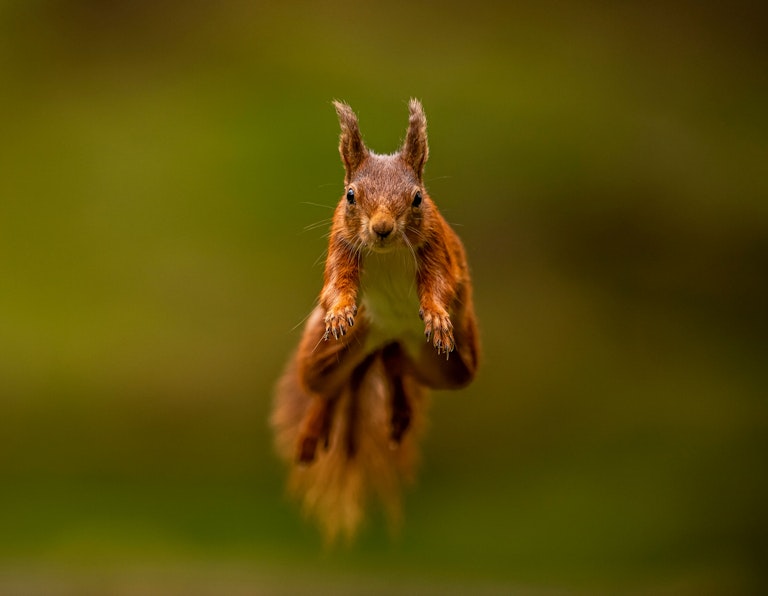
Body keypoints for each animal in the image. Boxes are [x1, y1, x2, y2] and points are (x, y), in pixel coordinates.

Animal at [272, 101, 480, 540]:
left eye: (418, 198)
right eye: (351, 195)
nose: (382, 228)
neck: (386, 253)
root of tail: (388, 337)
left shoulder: (437, 251)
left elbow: (438, 286)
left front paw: (438, 318)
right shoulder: (341, 245)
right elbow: (338, 284)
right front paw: (339, 311)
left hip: (451, 368)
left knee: (395, 363)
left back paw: (398, 405)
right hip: (324, 353)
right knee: (326, 387)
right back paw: (313, 432)